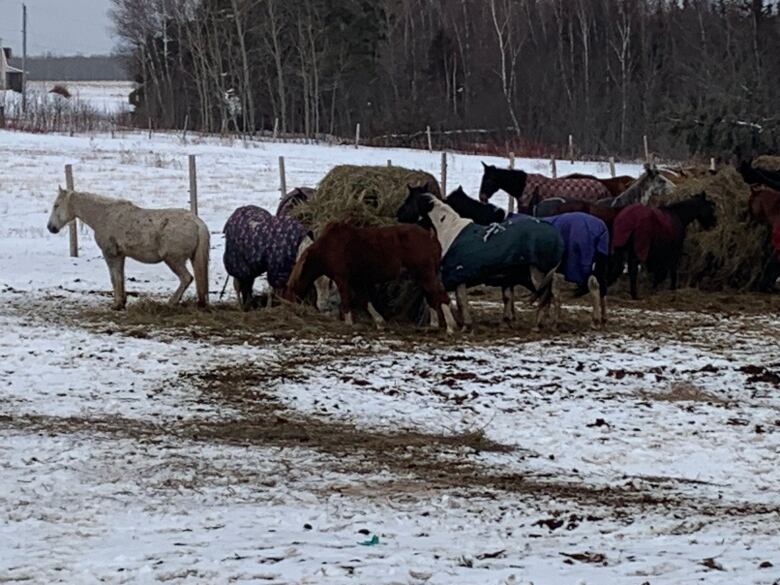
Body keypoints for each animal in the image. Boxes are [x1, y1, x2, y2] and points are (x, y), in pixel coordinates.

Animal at [48, 188, 210, 308]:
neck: (104, 216)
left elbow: (114, 278)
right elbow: (121, 277)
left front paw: (117, 304)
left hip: (173, 260)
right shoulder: (120, 255)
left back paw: (171, 302)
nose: (51, 227)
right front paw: (122, 302)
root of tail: (197, 222)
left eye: (56, 205)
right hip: (192, 259)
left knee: (186, 278)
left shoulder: (110, 254)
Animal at [284, 222, 458, 334]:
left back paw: (450, 327)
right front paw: (380, 322)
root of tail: (431, 236)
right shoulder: (357, 281)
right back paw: (434, 325)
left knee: (440, 296)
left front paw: (349, 323)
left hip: (426, 274)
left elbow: (346, 302)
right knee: (431, 296)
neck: (329, 247)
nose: (321, 306)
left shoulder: (342, 279)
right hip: (423, 275)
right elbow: (365, 300)